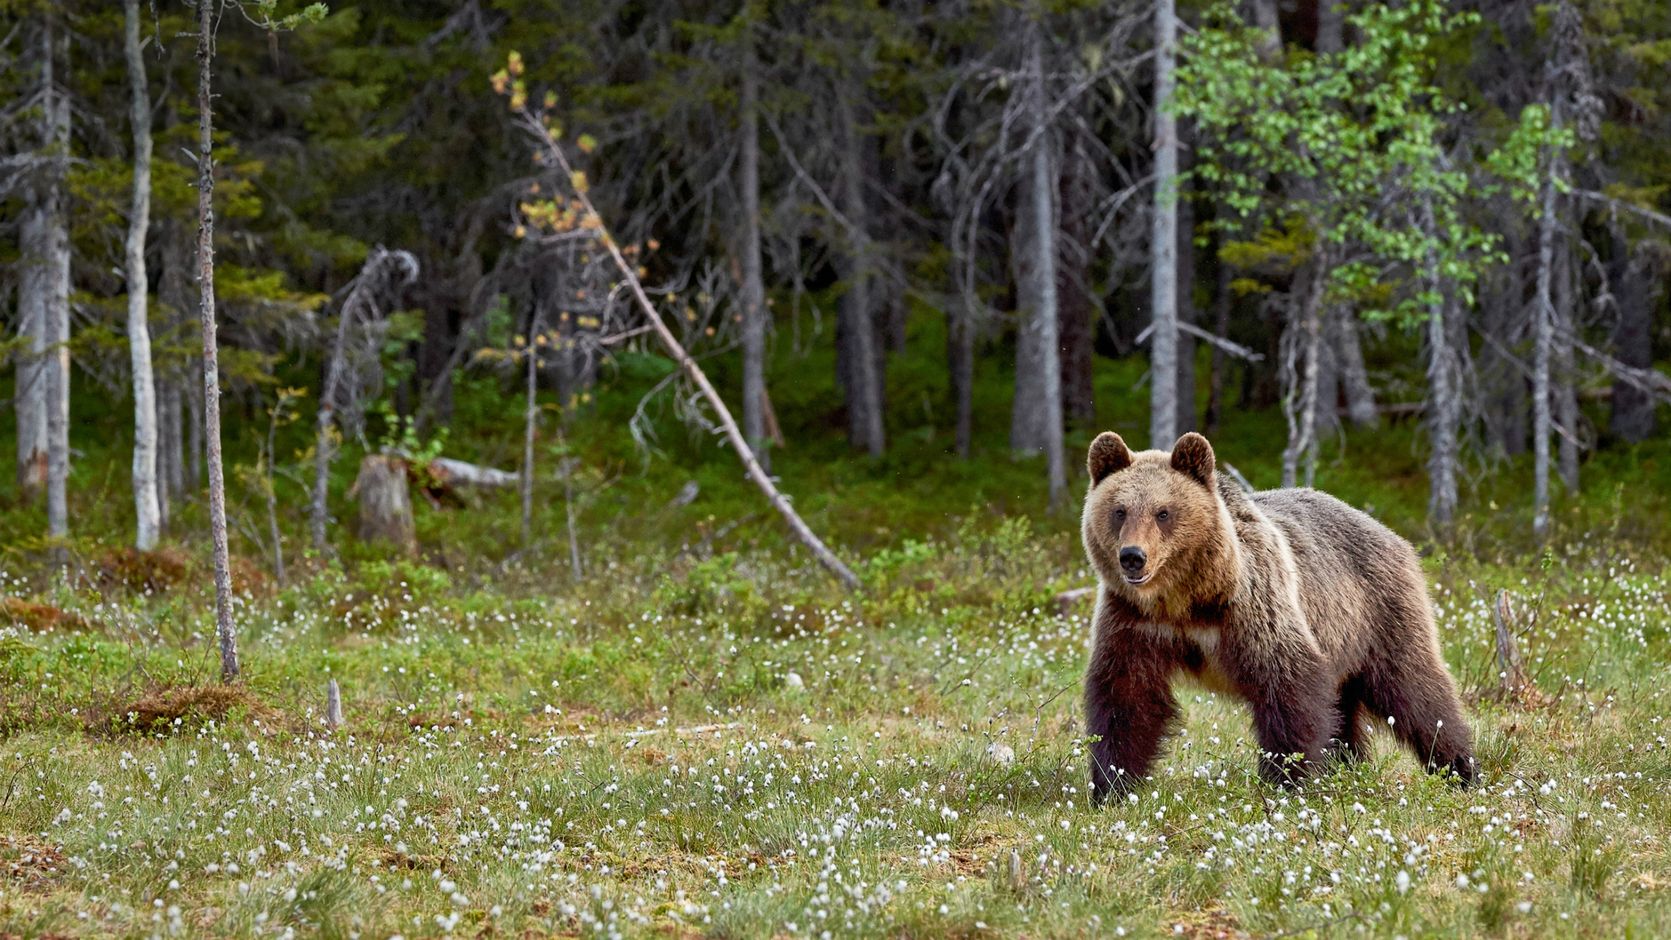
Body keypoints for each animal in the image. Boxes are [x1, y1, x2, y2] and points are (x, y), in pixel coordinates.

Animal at [1080, 430, 1475, 801]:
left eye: (1163, 512)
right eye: (1120, 510)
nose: (1133, 556)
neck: (1184, 600)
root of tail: (1386, 530)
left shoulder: (1253, 608)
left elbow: (1288, 685)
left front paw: (1285, 779)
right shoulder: (1135, 621)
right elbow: (1126, 697)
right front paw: (1112, 785)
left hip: (1380, 612)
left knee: (1415, 690)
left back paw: (1460, 769)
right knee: (1345, 710)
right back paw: (1348, 767)